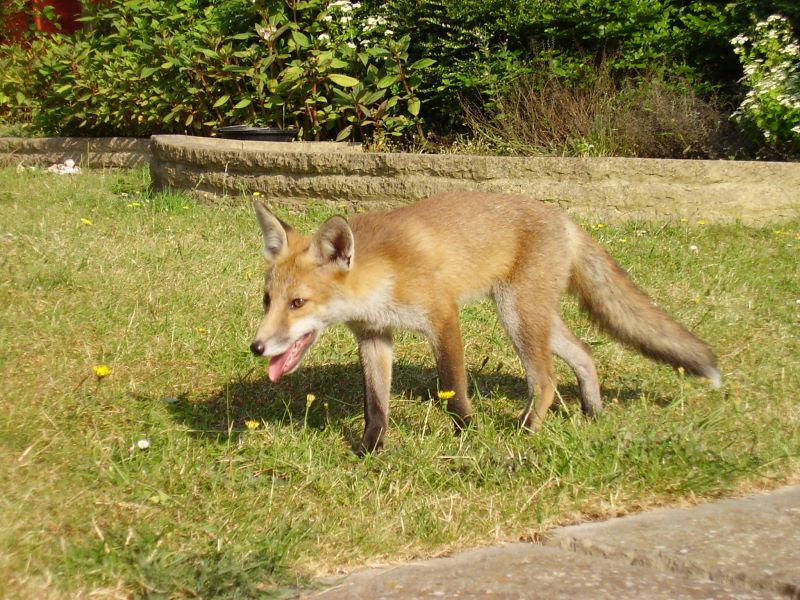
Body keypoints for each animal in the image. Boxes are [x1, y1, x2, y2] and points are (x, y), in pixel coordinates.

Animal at [247, 193, 720, 454]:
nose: (256, 348)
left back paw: (525, 432)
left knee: (546, 379)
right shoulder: (375, 335)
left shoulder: (442, 317)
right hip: (535, 317)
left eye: (298, 302)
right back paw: (593, 414)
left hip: (516, 316)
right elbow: (375, 404)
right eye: (269, 301)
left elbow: (453, 388)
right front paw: (370, 450)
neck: (381, 275)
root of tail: (564, 218)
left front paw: (467, 435)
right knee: (585, 355)